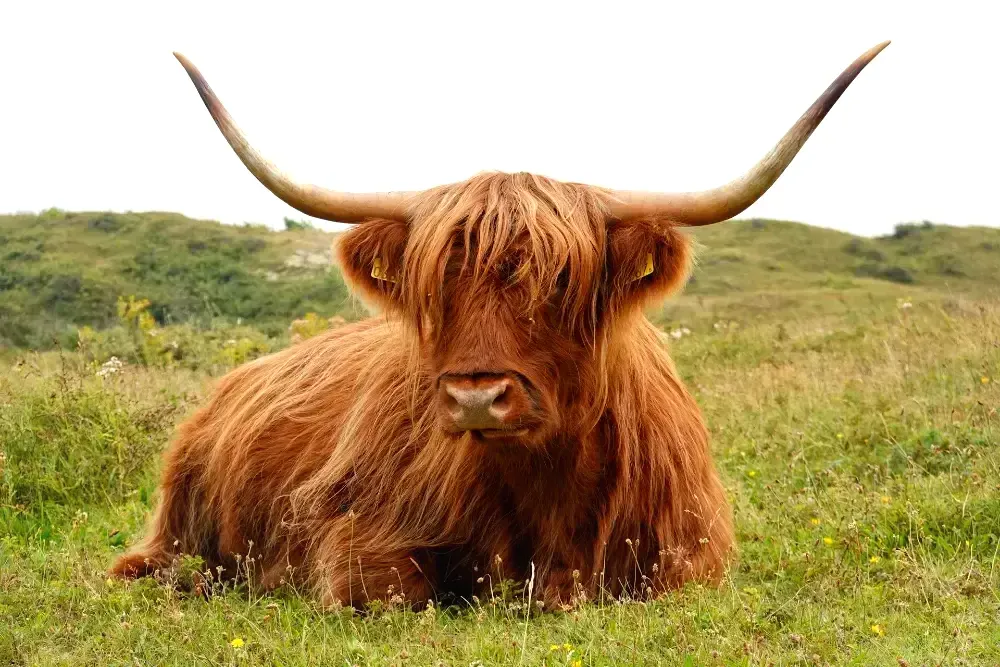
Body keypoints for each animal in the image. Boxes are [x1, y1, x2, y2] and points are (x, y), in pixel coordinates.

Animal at [111, 42, 889, 609]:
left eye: (562, 282)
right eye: (437, 284)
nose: (476, 398)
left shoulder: (691, 560)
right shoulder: (356, 534)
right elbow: (391, 590)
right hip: (178, 528)